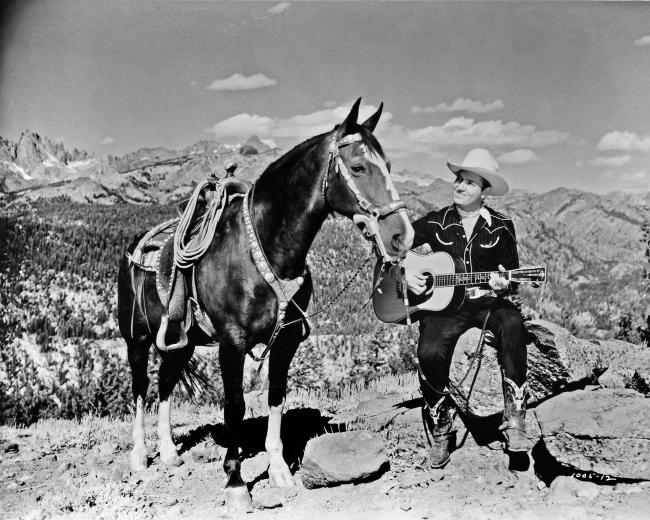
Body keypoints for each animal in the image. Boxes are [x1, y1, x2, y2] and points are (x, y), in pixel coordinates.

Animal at [115, 99, 410, 510]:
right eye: (358, 167)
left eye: (390, 166)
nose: (401, 235)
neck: (265, 248)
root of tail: (134, 247)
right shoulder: (232, 344)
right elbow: (235, 406)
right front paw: (236, 483)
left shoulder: (285, 341)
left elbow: (276, 397)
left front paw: (279, 470)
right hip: (137, 340)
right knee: (141, 387)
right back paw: (140, 456)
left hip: (179, 342)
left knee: (166, 384)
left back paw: (171, 453)